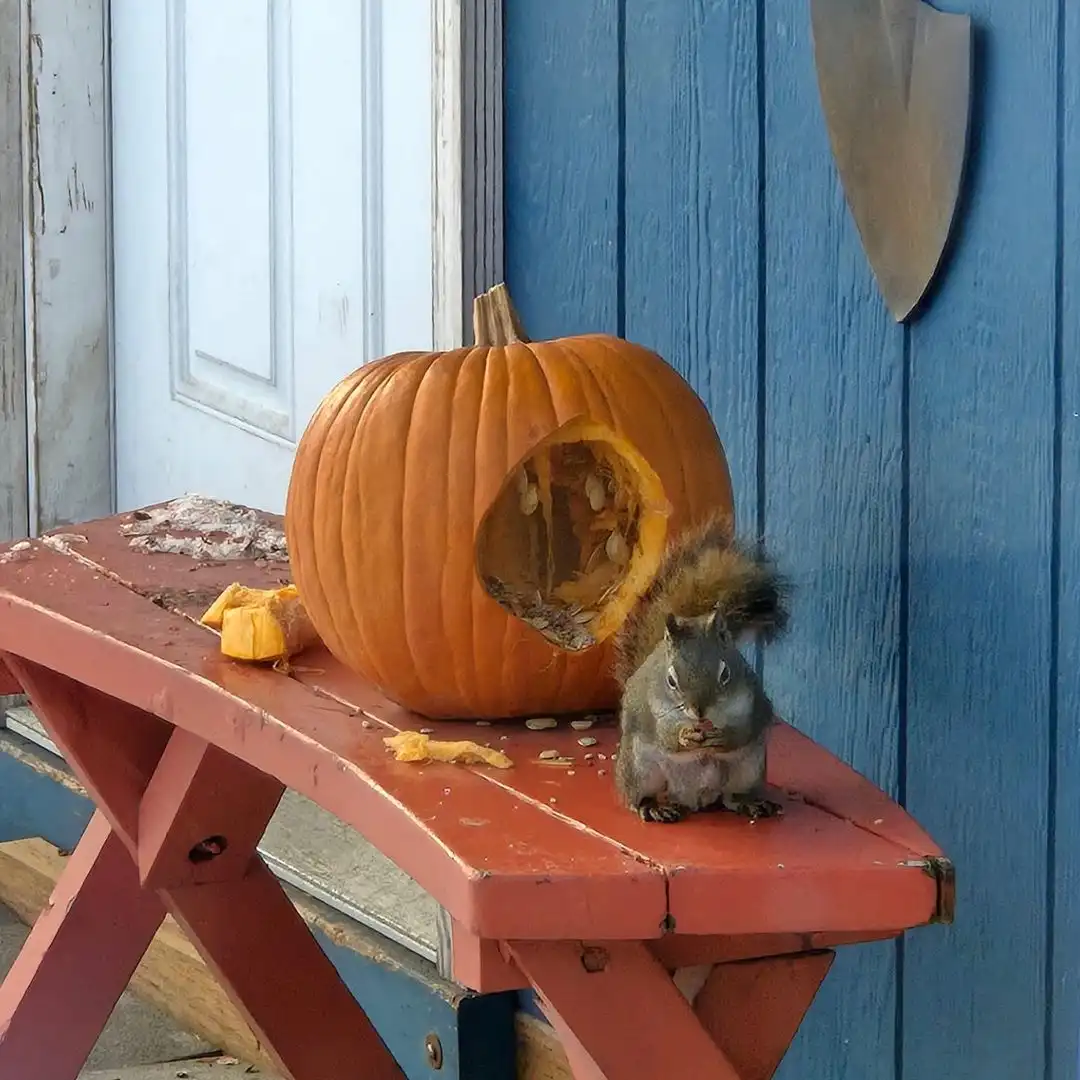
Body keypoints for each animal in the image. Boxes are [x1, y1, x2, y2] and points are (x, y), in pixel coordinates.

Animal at [612, 512, 790, 824]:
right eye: (671, 680)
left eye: (725, 674)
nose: (699, 711)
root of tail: (696, 798)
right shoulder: (652, 708)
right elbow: (666, 736)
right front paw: (685, 735)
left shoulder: (753, 699)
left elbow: (745, 728)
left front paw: (723, 736)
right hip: (639, 768)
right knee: (638, 795)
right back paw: (653, 806)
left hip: (749, 767)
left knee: (733, 797)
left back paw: (750, 803)